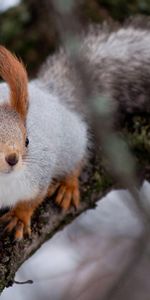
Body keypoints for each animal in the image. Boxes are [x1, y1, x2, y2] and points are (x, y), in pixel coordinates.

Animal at [0, 21, 150, 240]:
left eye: (27, 140)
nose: (13, 159)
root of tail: (51, 93)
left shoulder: (38, 173)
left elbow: (32, 199)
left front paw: (19, 218)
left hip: (72, 142)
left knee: (77, 158)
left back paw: (67, 186)